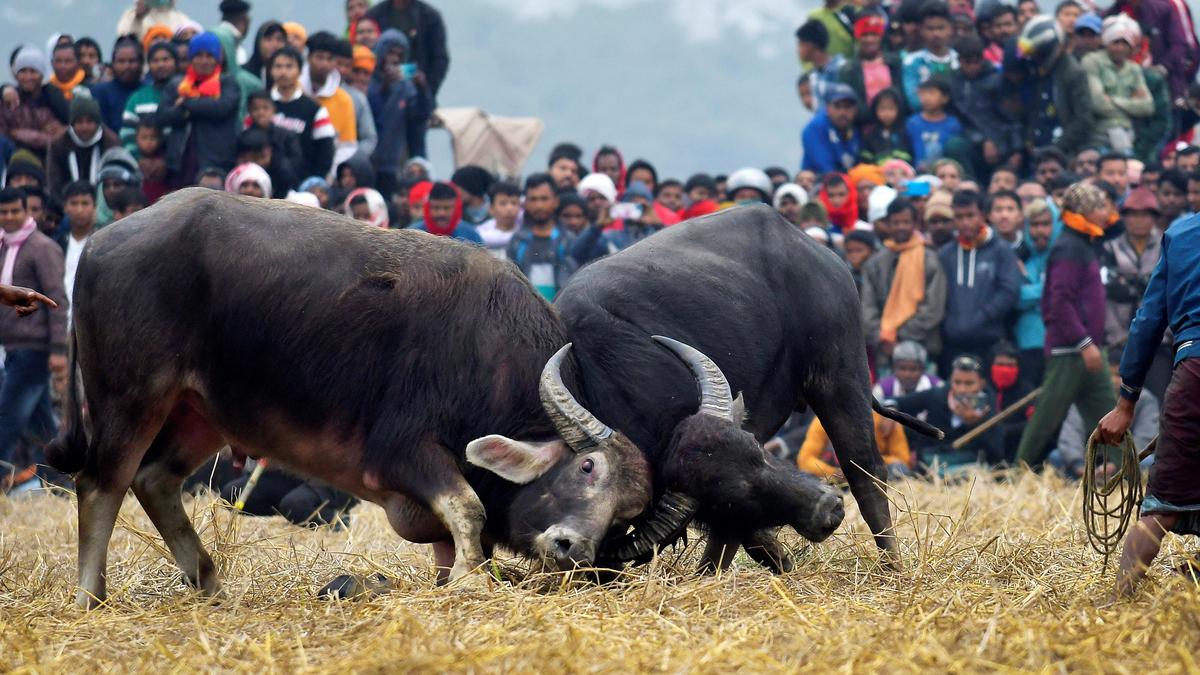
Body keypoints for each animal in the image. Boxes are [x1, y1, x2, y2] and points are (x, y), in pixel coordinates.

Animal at [48, 189, 671, 607]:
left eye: (626, 513)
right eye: (587, 468)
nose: (574, 548)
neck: (486, 357)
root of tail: (100, 241)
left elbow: (454, 537)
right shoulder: (401, 453)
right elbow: (468, 508)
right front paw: (469, 583)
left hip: (200, 412)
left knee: (155, 479)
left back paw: (211, 584)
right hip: (131, 396)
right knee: (100, 483)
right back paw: (89, 598)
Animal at [556, 205, 942, 572]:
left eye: (758, 452)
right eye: (730, 497)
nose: (827, 509)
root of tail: (823, 257)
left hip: (842, 377)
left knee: (864, 470)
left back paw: (892, 567)